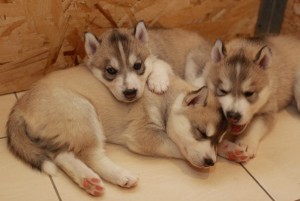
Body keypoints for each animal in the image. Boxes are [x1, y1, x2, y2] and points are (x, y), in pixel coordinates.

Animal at [5, 65, 226, 196]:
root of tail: (19, 105)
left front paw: (229, 151)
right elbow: (176, 147)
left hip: (65, 130)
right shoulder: (143, 135)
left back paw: (88, 181)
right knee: (91, 156)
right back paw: (121, 176)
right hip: (83, 112)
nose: (211, 162)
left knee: (62, 156)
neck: (168, 99)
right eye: (201, 132)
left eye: (218, 140)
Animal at [188, 35, 300, 163]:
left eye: (249, 93)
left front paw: (245, 143)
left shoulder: (268, 109)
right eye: (222, 91)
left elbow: (256, 126)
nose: (233, 116)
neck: (245, 45)